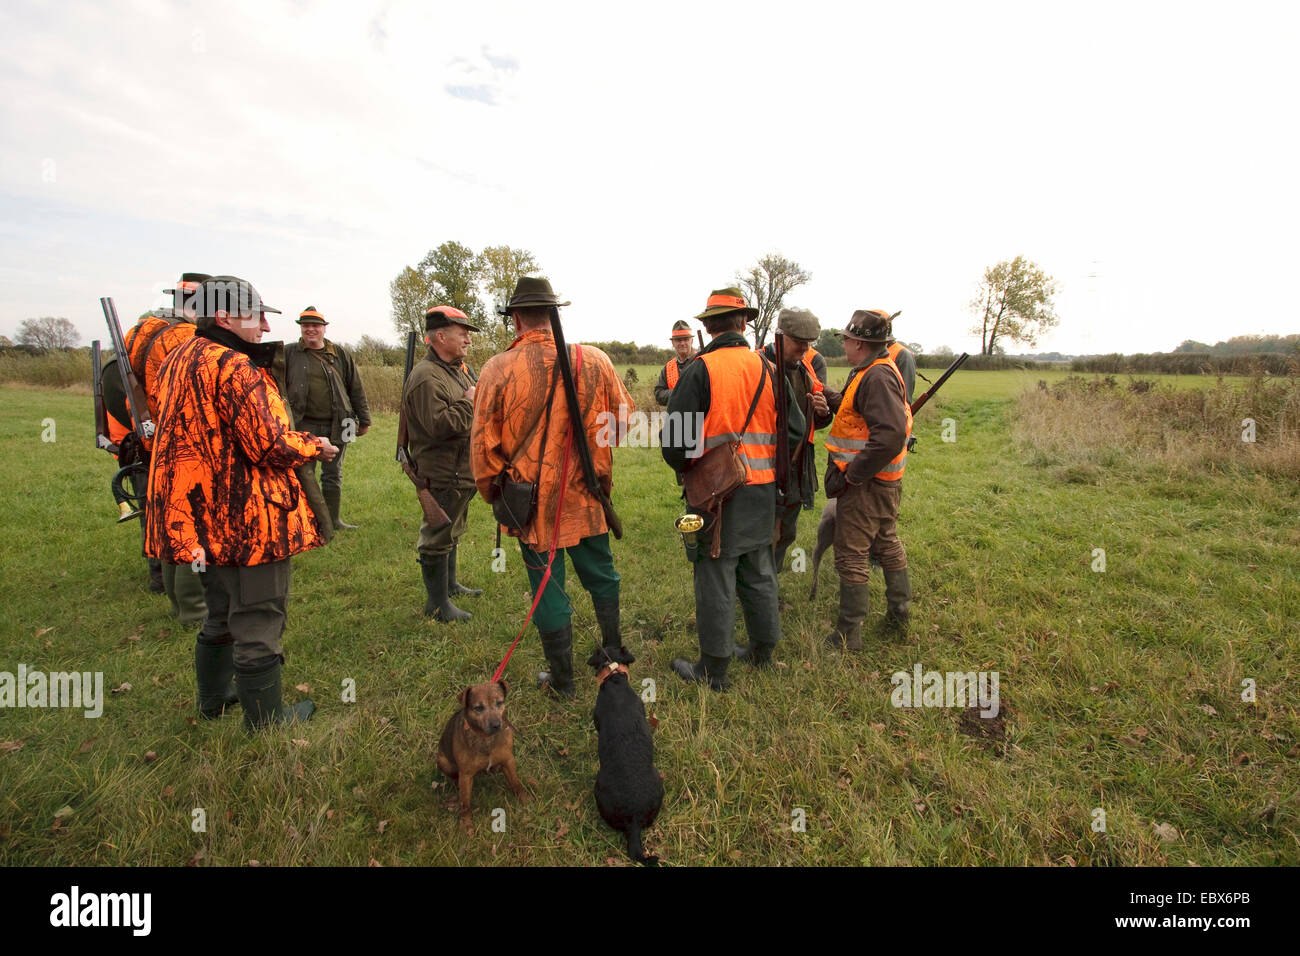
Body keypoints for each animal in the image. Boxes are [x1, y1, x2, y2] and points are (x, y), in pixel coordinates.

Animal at [436, 686, 527, 832]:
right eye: (478, 708)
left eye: (499, 703)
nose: (496, 724)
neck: (486, 738)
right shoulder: (466, 775)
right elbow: (465, 803)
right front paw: (466, 825)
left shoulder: (508, 761)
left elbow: (516, 784)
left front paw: (526, 802)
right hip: (443, 762)